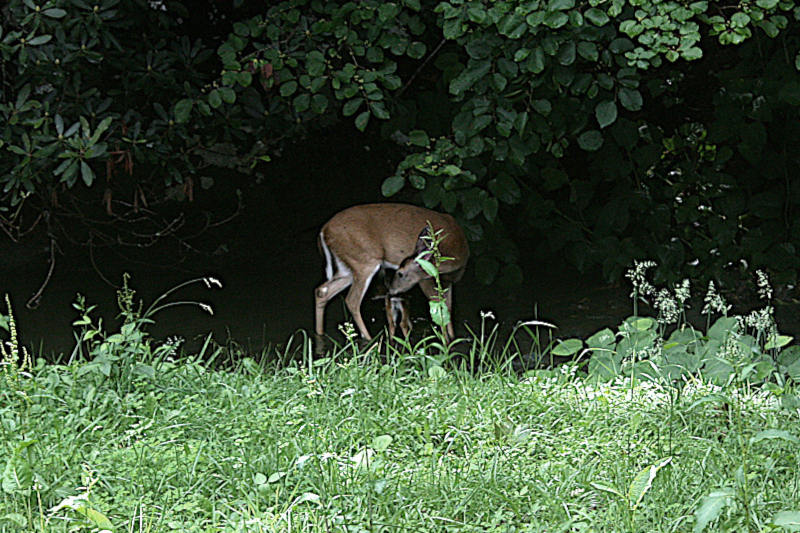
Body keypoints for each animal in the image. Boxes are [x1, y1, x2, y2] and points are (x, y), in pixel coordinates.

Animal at [314, 203, 470, 351]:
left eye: (400, 273)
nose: (391, 291)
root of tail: (323, 231)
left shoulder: (448, 282)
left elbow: (448, 308)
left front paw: (452, 340)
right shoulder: (426, 280)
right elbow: (439, 309)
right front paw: (446, 343)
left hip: (346, 268)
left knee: (322, 291)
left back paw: (320, 335)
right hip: (364, 261)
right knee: (352, 300)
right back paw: (370, 341)